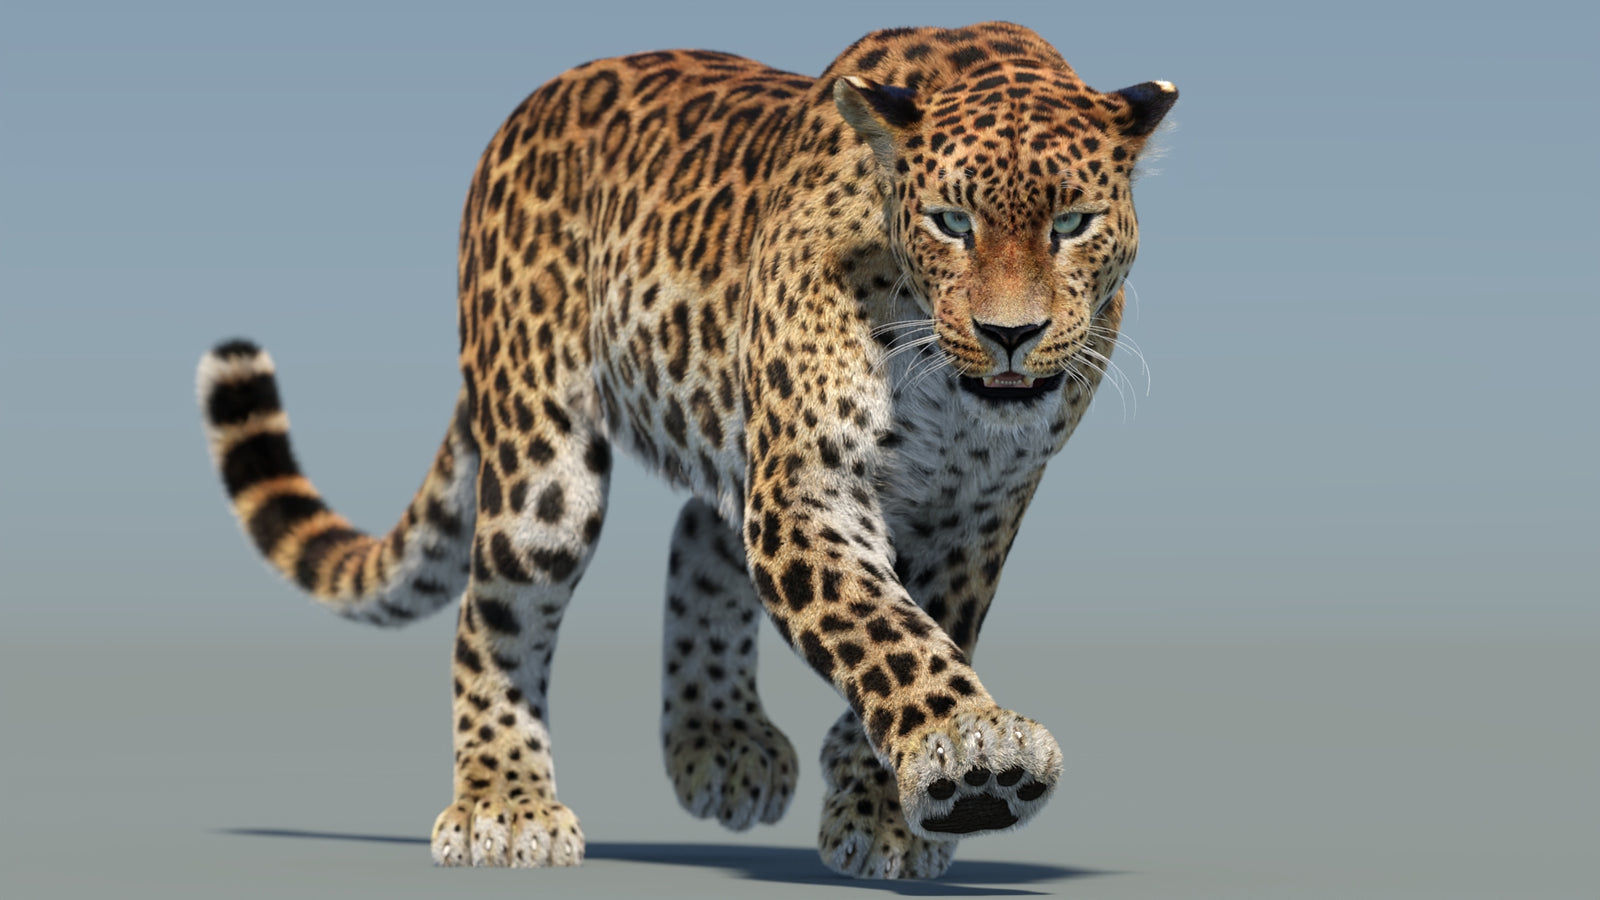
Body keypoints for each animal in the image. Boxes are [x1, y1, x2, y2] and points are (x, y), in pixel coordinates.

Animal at [195, 21, 1175, 879]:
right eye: (950, 222)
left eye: (1073, 224)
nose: (1011, 335)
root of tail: (526, 111)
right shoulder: (807, 490)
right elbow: (884, 628)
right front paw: (968, 756)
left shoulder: (978, 513)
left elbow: (934, 627)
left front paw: (887, 808)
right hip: (545, 465)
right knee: (491, 612)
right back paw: (504, 804)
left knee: (699, 540)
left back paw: (722, 742)